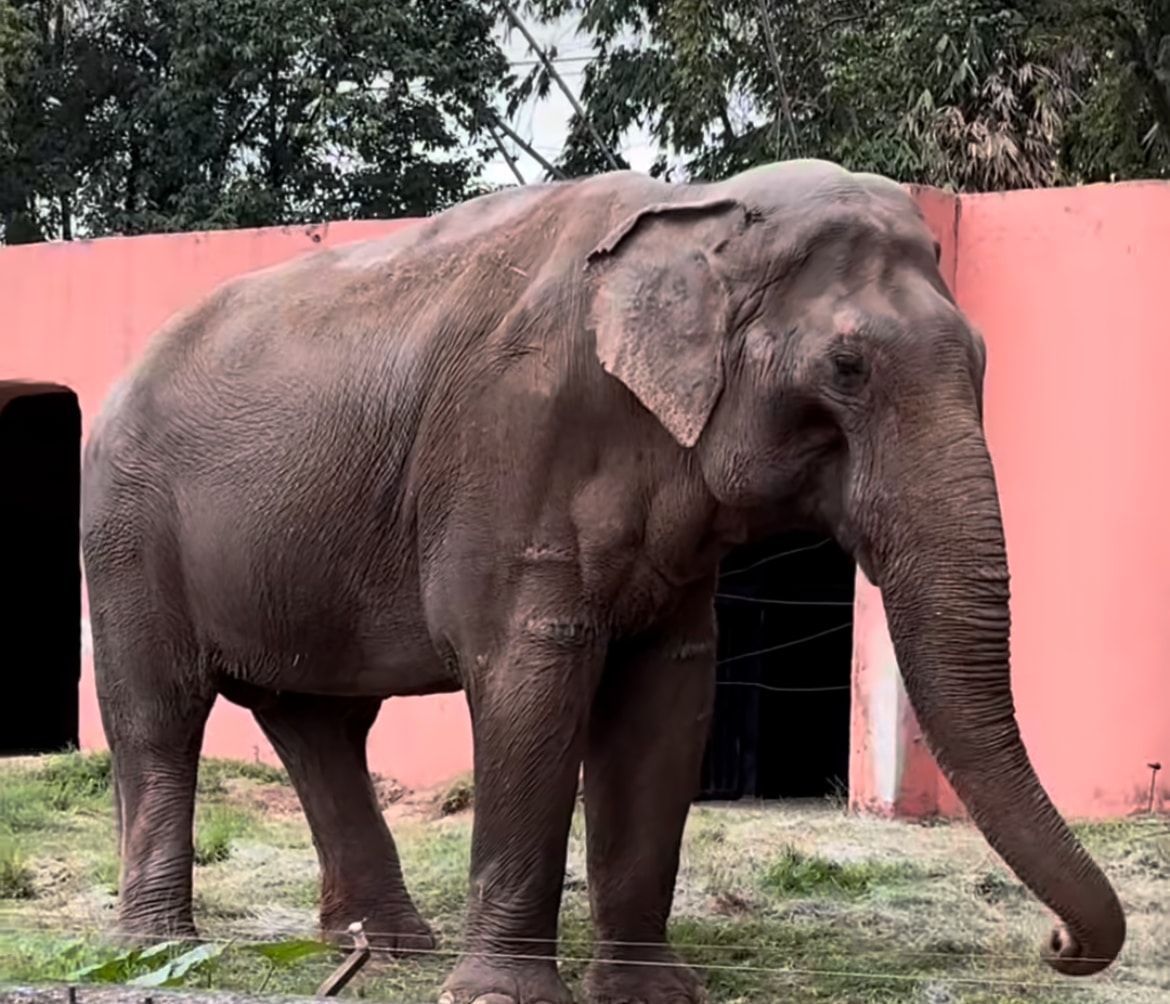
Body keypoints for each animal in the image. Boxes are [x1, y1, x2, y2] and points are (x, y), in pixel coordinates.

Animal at [80, 158, 1125, 1004]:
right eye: (847, 367)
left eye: (983, 359)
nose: (1057, 944)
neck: (697, 213)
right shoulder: (512, 445)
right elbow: (534, 679)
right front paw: (499, 997)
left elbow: (668, 695)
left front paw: (649, 992)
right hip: (127, 528)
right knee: (162, 716)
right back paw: (155, 952)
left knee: (319, 724)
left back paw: (391, 950)